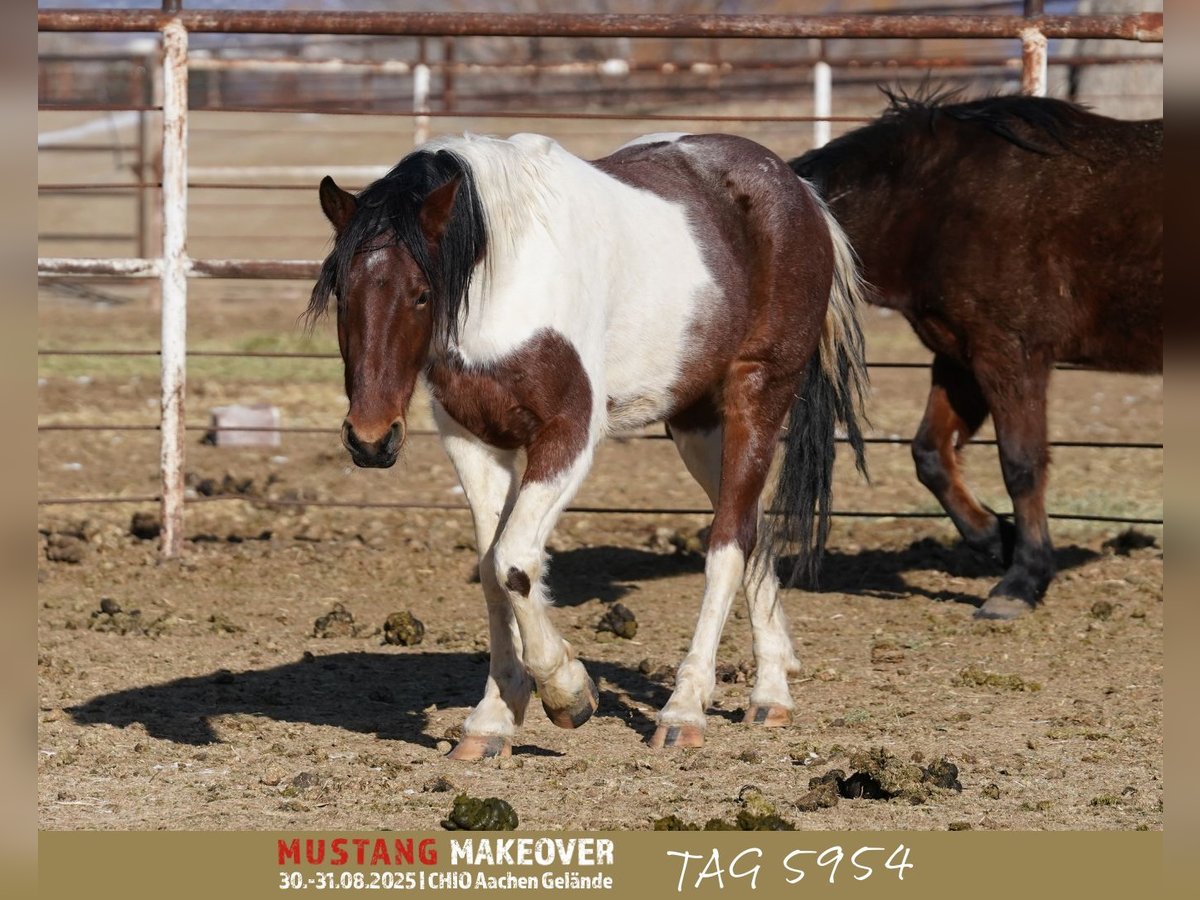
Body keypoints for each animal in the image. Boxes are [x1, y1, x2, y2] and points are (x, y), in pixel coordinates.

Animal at [309, 130, 868, 758]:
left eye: (422, 294)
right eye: (341, 293)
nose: (370, 439)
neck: (505, 278)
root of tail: (799, 192)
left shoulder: (569, 435)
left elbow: (514, 561)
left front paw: (567, 692)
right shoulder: (472, 440)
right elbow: (490, 569)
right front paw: (493, 719)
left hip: (758, 394)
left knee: (728, 544)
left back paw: (685, 709)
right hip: (698, 423)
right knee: (753, 529)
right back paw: (770, 694)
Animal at [787, 91, 1161, 624]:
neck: (930, 202)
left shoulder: (1009, 354)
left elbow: (1021, 464)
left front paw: (1021, 581)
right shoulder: (960, 357)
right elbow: (931, 454)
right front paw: (997, 539)